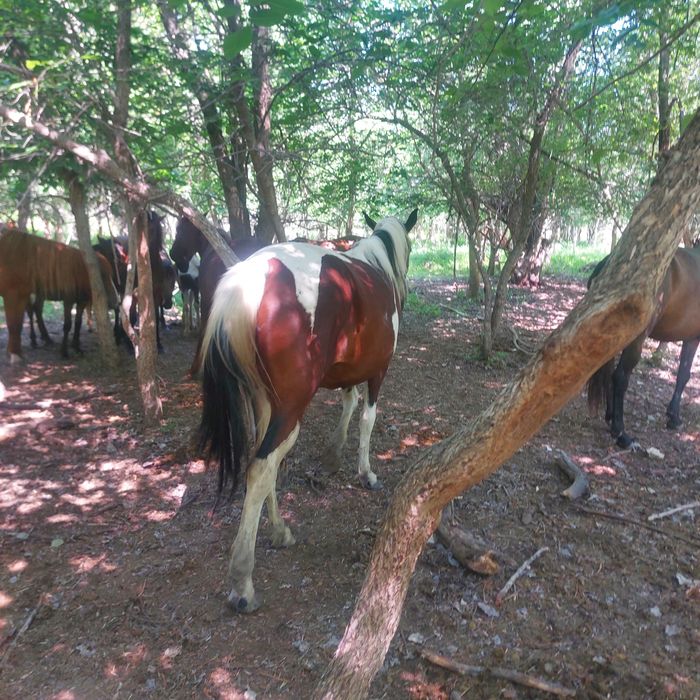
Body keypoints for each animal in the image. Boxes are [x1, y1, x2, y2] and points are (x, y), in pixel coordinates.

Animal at [0, 227, 119, 361]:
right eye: (102, 275)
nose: (116, 302)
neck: (80, 269)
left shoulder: (82, 302)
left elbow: (78, 323)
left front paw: (76, 346)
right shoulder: (68, 300)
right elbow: (67, 325)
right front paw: (64, 351)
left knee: (36, 309)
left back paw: (46, 338)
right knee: (30, 312)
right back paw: (34, 340)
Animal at [198, 209, 417, 613]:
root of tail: (250, 280)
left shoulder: (348, 372)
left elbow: (347, 403)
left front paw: (333, 454)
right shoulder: (378, 372)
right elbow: (367, 419)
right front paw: (366, 472)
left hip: (266, 402)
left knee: (263, 459)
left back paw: (279, 530)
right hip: (290, 406)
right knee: (262, 466)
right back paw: (243, 581)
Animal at [587, 246, 700, 447]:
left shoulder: (691, 338)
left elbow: (683, 375)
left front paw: (673, 417)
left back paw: (610, 416)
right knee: (620, 376)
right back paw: (621, 433)